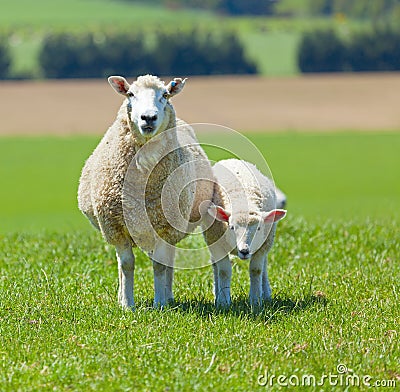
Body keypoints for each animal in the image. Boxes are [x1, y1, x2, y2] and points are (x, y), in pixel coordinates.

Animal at [77, 74, 214, 310]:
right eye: (131, 94)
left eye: (165, 95)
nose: (148, 117)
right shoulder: (116, 228)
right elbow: (126, 265)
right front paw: (127, 305)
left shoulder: (164, 226)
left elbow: (159, 266)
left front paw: (159, 304)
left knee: (168, 261)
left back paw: (168, 296)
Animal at [202, 158, 286, 306]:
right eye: (231, 227)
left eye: (259, 228)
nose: (245, 251)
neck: (242, 201)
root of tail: (232, 159)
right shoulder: (216, 243)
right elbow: (224, 271)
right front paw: (223, 302)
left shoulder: (263, 246)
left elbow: (256, 270)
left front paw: (255, 300)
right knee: (215, 265)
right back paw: (217, 293)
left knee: (264, 266)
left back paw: (266, 293)